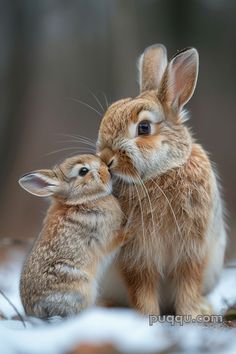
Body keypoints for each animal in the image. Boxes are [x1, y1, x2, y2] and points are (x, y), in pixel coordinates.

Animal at [18, 154, 123, 318]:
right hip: (78, 287)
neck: (80, 200)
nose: (107, 169)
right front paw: (132, 230)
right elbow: (119, 239)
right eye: (83, 171)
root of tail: (35, 313)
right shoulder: (104, 235)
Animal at [97, 44, 227, 318]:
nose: (105, 159)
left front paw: (191, 314)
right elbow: (142, 287)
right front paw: (147, 316)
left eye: (144, 128)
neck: (163, 172)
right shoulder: (137, 255)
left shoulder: (192, 250)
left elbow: (188, 282)